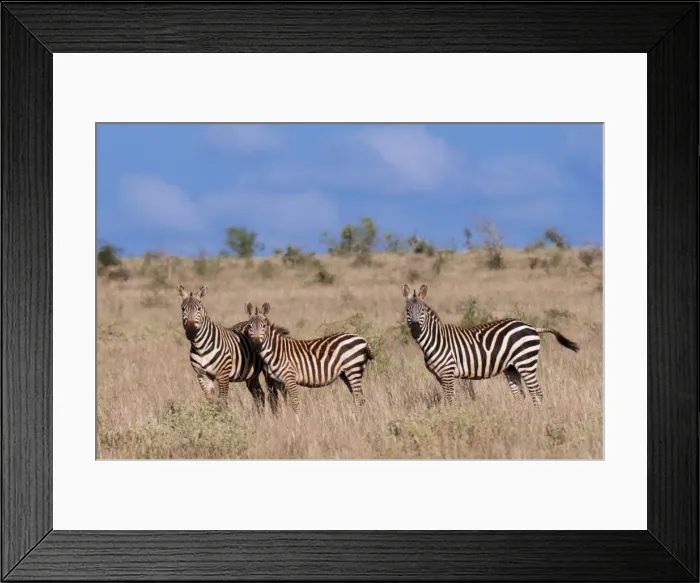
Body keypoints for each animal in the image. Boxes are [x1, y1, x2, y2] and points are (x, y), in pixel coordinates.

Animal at [177, 285, 286, 414]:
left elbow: (222, 402)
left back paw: (275, 416)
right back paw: (260, 417)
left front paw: (222, 418)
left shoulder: (223, 375)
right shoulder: (202, 376)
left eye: (199, 309)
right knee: (259, 395)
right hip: (251, 375)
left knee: (273, 395)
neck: (200, 347)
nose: (191, 330)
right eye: (183, 309)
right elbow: (210, 402)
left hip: (268, 371)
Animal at [244, 302, 374, 414]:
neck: (276, 351)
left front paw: (299, 424)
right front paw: (285, 423)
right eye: (250, 326)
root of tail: (363, 339)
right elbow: (283, 404)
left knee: (359, 399)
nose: (257, 344)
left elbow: (295, 405)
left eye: (264, 326)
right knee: (359, 398)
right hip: (346, 373)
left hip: (353, 369)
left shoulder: (290, 378)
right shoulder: (278, 382)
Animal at [402, 284, 580, 407]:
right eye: (407, 311)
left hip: (526, 363)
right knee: (520, 395)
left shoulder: (448, 371)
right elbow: (447, 399)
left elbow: (451, 400)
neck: (435, 340)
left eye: (422, 311)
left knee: (537, 393)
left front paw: (451, 418)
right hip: (511, 368)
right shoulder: (439, 375)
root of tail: (533, 327)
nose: (416, 331)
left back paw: (538, 419)